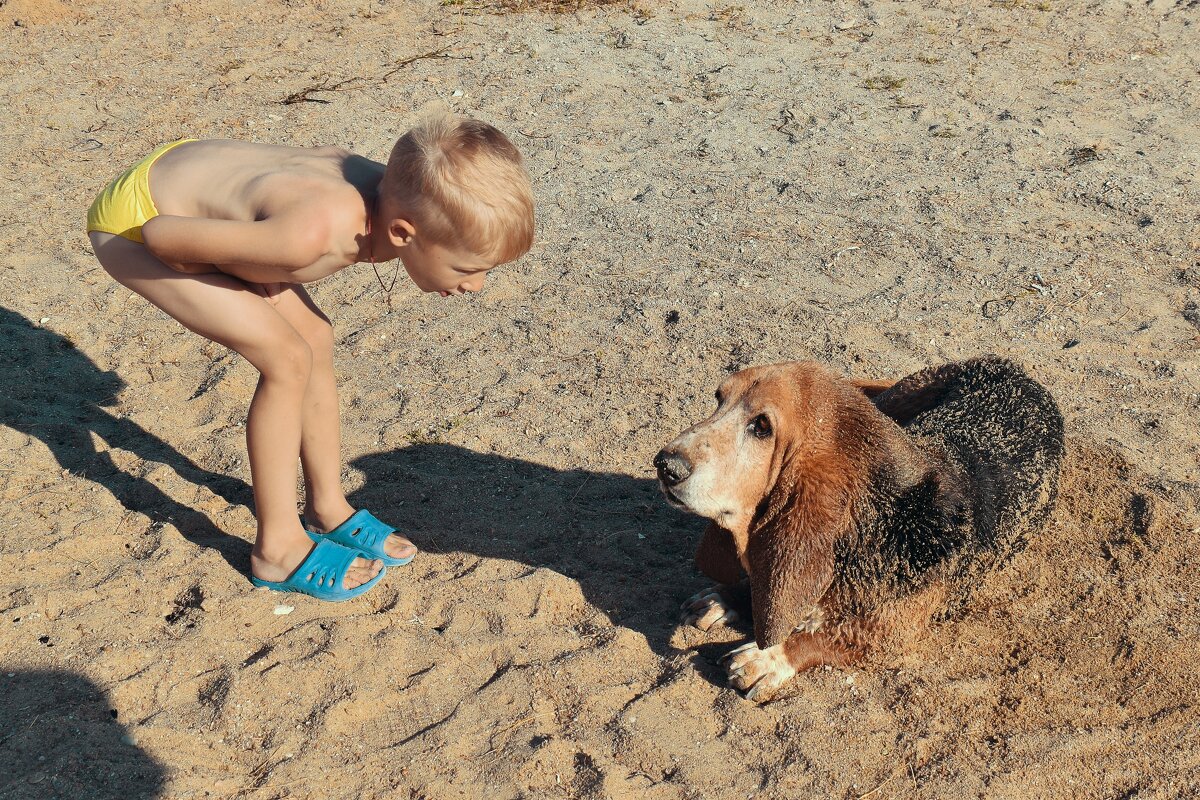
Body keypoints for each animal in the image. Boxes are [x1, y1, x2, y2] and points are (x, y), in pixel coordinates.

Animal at [657, 357, 1070, 700]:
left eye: (761, 427)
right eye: (718, 398)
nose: (665, 465)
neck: (883, 516)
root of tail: (1018, 370)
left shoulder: (891, 634)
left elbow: (820, 637)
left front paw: (767, 658)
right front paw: (726, 598)